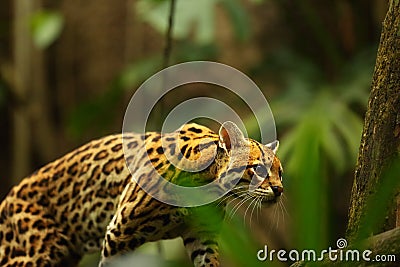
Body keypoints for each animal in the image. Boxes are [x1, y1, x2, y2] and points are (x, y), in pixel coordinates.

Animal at [0, 122, 282, 266]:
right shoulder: (119, 232)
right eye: (258, 168)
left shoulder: (202, 235)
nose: (279, 190)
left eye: (280, 172)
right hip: (38, 251)